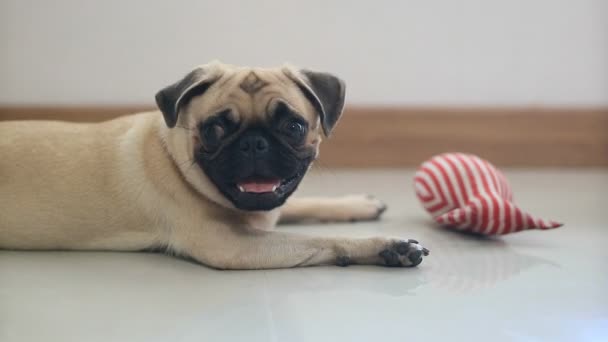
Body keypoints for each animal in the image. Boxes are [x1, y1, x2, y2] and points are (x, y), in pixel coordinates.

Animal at [0, 62, 428, 270]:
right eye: (215, 129)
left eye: (293, 126)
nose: (254, 142)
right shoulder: (231, 246)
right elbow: (316, 241)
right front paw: (387, 247)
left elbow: (303, 204)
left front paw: (357, 204)